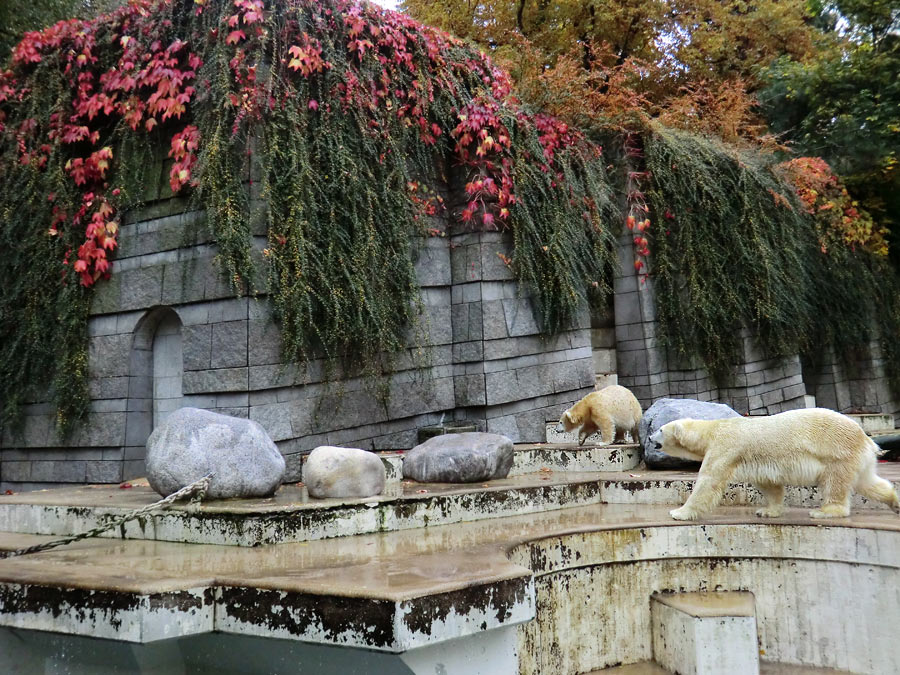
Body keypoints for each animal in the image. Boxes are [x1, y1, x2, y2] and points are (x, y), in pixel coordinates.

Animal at [652, 406, 896, 524]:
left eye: (660, 429)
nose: (650, 437)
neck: (713, 429)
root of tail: (866, 439)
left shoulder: (725, 447)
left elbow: (709, 482)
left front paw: (679, 512)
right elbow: (769, 484)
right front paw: (768, 511)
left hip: (837, 452)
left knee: (835, 482)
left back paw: (825, 511)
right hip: (857, 459)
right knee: (868, 481)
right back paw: (895, 502)